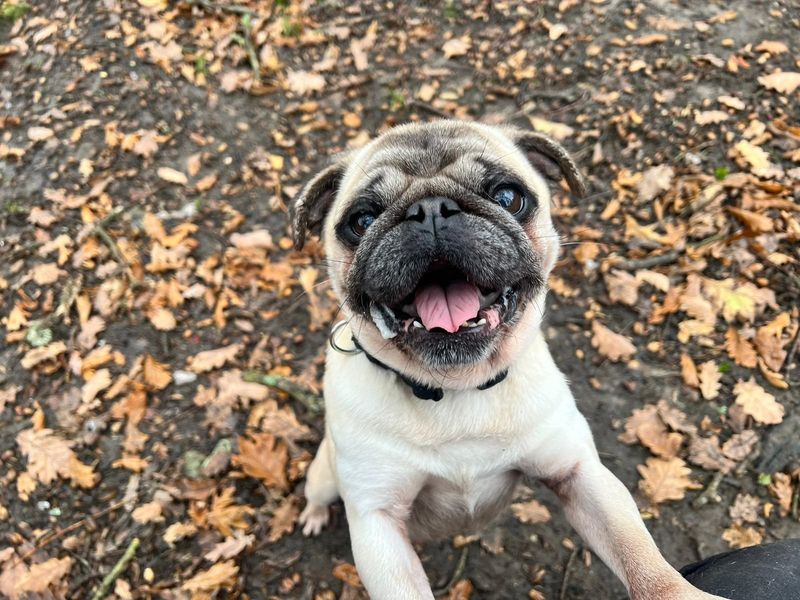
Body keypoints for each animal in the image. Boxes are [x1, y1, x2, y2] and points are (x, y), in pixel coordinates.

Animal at [290, 122, 724, 600]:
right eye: (362, 221)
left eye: (507, 197)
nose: (430, 209)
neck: (456, 388)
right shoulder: (377, 525)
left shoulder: (579, 475)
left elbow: (643, 560)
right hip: (324, 476)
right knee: (316, 494)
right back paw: (312, 516)